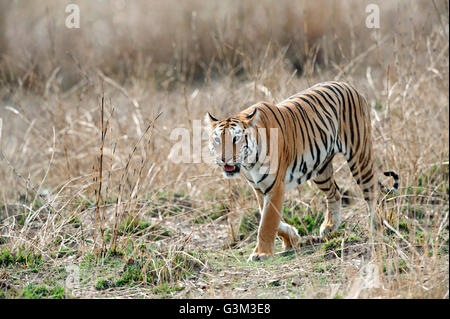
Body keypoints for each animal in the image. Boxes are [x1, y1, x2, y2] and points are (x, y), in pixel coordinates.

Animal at [206, 82, 400, 262]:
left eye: (235, 139)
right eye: (217, 140)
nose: (224, 158)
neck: (248, 163)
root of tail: (349, 85)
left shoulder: (275, 187)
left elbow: (267, 222)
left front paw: (262, 254)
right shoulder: (259, 188)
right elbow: (268, 217)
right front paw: (291, 238)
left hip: (359, 156)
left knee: (371, 193)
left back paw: (376, 228)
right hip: (320, 169)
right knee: (335, 193)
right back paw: (330, 226)